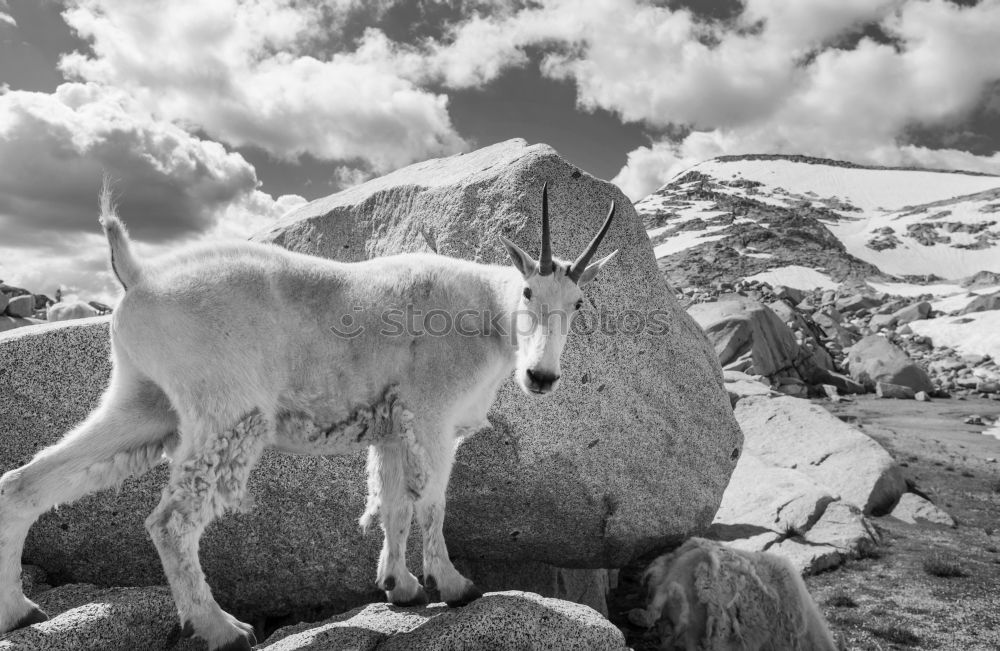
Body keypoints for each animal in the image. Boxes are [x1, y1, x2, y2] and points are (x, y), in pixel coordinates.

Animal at [0, 182, 616, 651]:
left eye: (579, 303)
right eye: (528, 291)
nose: (541, 377)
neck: (487, 312)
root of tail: (138, 278)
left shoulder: (392, 428)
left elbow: (393, 502)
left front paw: (400, 587)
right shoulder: (432, 419)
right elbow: (432, 503)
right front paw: (455, 585)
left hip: (142, 403)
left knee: (28, 483)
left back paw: (21, 610)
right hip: (226, 413)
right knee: (171, 522)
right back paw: (224, 629)